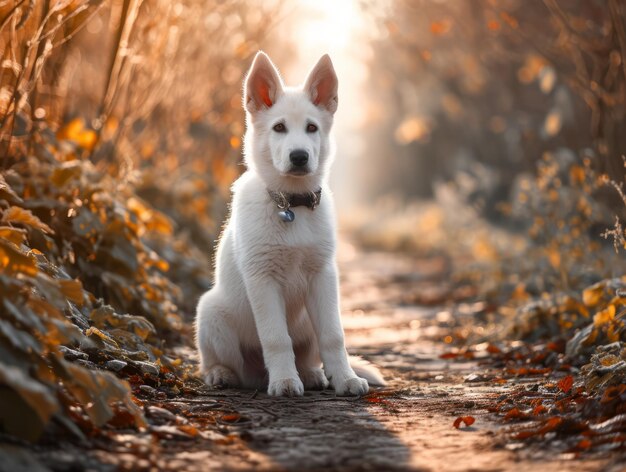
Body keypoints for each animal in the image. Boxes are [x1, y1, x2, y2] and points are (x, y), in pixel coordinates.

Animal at [195, 51, 382, 396]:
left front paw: (346, 378)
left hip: (308, 319)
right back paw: (223, 374)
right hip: (211, 312)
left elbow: (334, 336)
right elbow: (276, 338)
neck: (291, 204)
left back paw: (311, 374)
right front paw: (284, 381)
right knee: (221, 363)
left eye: (311, 128)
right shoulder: (263, 279)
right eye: (279, 127)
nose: (299, 157)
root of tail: (256, 375)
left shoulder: (322, 276)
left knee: (308, 353)